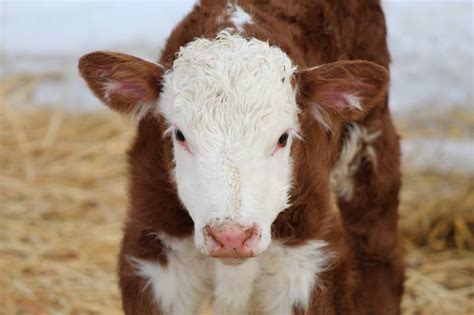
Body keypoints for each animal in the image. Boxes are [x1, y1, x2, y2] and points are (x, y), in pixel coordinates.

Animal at [78, 0, 404, 314]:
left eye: (283, 138)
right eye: (180, 135)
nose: (231, 237)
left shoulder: (308, 259)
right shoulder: (154, 255)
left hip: (370, 143)